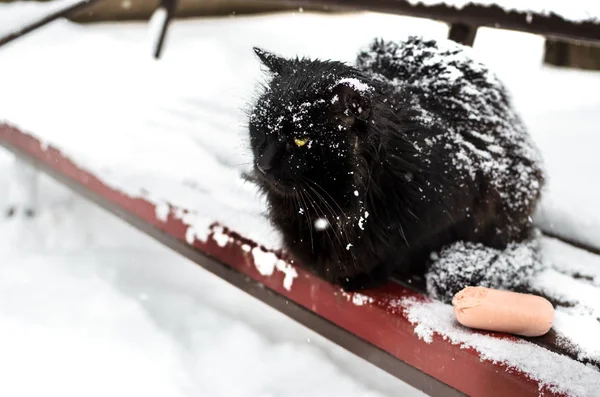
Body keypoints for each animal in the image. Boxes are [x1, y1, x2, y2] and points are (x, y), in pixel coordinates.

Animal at [246, 37, 548, 294]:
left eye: (300, 139)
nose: (262, 164)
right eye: (261, 128)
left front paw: (361, 275)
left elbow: (402, 249)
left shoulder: (455, 199)